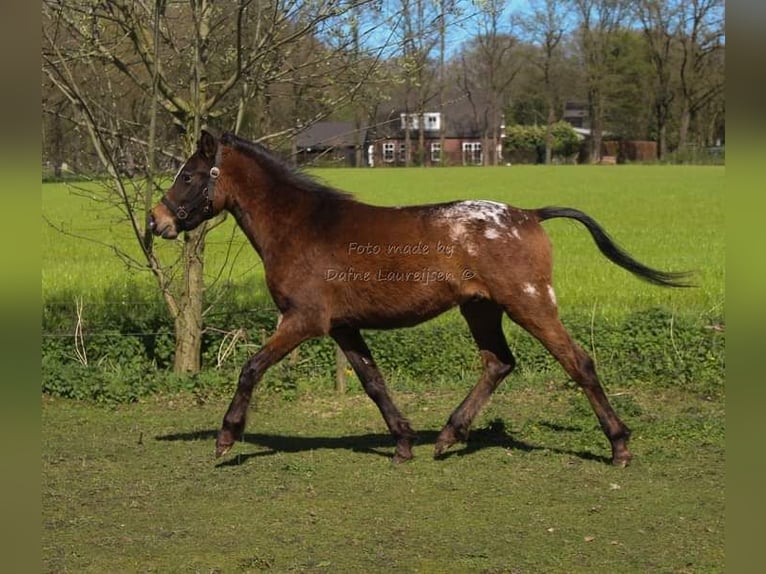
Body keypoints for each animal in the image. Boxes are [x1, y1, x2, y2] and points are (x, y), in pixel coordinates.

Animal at [148, 130, 688, 468]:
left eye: (189, 176)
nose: (158, 221)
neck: (301, 226)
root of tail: (530, 215)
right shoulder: (343, 326)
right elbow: (373, 381)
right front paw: (404, 441)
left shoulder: (303, 320)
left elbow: (251, 368)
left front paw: (225, 437)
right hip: (481, 308)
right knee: (498, 363)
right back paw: (448, 437)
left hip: (529, 303)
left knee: (578, 362)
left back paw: (619, 446)